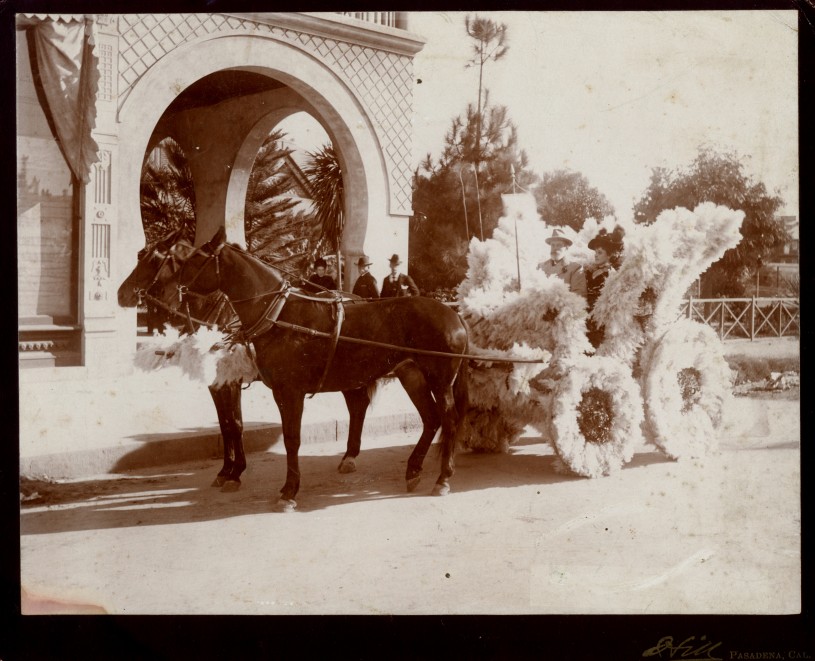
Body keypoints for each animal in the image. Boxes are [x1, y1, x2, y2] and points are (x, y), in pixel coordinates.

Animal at [155, 227, 468, 510]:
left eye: (194, 259)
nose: (166, 293)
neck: (279, 314)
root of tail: (453, 314)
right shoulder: (275, 391)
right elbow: (248, 428)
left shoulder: (289, 392)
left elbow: (291, 439)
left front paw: (288, 490)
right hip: (411, 375)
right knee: (430, 419)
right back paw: (413, 469)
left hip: (439, 380)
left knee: (449, 420)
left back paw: (443, 477)